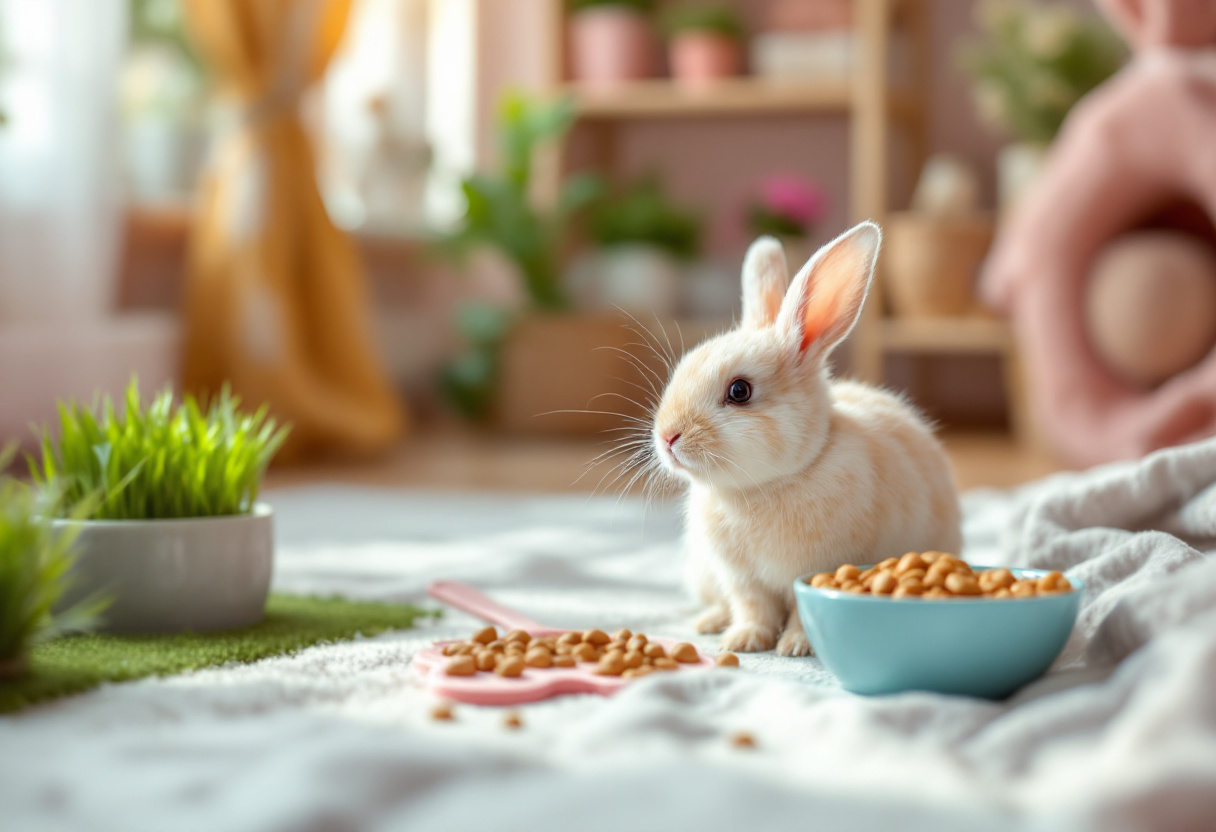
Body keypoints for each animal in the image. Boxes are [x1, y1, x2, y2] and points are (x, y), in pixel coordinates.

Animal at [651, 221, 963, 656]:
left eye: (739, 391)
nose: (667, 436)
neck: (767, 486)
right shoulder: (742, 579)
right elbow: (753, 608)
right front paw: (743, 641)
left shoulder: (813, 570)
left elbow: (800, 612)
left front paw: (794, 647)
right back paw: (710, 622)